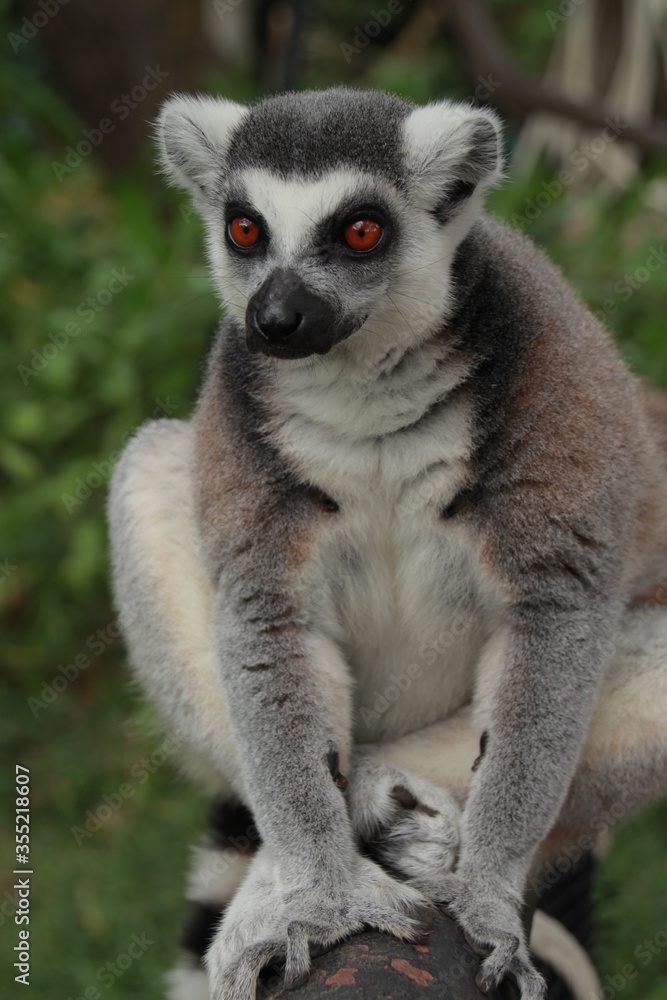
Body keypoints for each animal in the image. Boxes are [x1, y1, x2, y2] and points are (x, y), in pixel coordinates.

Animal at [107, 88, 667, 1000]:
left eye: (360, 230)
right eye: (244, 229)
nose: (275, 319)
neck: (363, 382)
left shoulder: (554, 388)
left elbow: (552, 624)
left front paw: (486, 889)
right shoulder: (236, 410)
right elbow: (267, 622)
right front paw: (325, 890)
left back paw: (389, 792)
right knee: (150, 468)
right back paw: (292, 868)